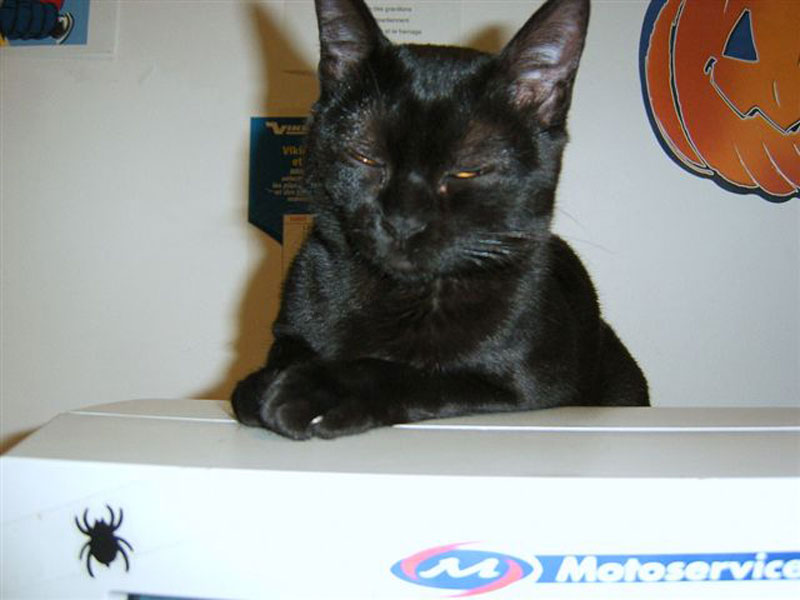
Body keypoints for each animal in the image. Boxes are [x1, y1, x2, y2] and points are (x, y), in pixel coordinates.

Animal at [232, 0, 649, 440]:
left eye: (468, 171)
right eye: (365, 156)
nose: (403, 220)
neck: (397, 292)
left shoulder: (521, 386)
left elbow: (412, 373)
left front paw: (315, 390)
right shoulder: (290, 327)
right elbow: (282, 357)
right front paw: (264, 383)